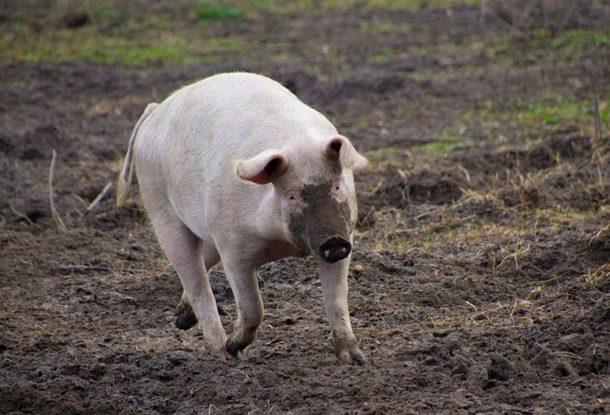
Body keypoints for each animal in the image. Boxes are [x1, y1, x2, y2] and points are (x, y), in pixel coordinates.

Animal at [117, 73, 368, 366]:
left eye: (337, 186)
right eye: (292, 195)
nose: (334, 240)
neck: (281, 242)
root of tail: (156, 110)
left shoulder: (345, 236)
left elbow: (337, 300)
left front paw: (356, 360)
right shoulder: (234, 250)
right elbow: (252, 308)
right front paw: (235, 347)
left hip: (207, 227)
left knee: (202, 263)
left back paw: (183, 319)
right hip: (160, 207)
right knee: (195, 279)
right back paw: (220, 352)